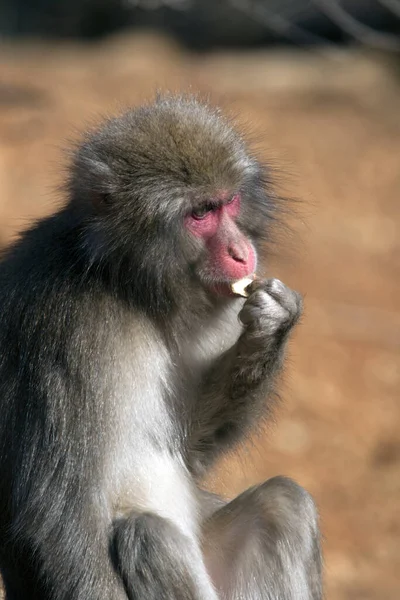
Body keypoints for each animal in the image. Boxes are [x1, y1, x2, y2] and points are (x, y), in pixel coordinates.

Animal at [0, 96, 322, 596]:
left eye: (228, 202)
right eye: (200, 214)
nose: (242, 252)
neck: (123, 284)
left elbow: (190, 453)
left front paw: (273, 324)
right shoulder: (63, 331)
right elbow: (58, 518)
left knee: (282, 503)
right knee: (147, 534)